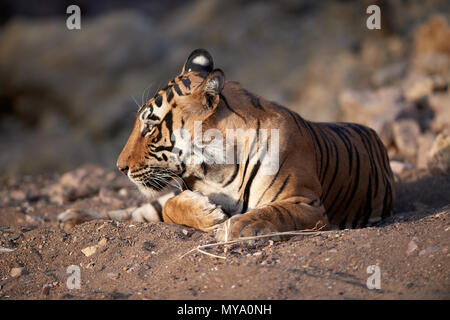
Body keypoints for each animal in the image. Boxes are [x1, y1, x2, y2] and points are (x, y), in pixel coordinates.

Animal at [58, 49, 396, 240]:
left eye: (150, 127)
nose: (120, 168)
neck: (214, 169)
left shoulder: (306, 204)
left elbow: (271, 213)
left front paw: (235, 227)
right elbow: (170, 206)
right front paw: (209, 215)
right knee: (141, 210)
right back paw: (72, 217)